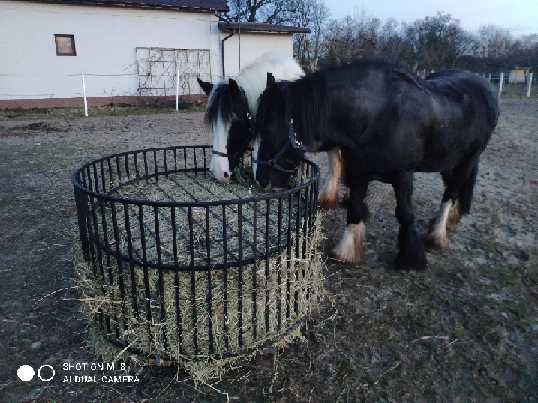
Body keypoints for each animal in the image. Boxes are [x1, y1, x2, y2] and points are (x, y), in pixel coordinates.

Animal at [253, 60, 496, 272]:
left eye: (269, 130)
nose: (261, 181)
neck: (378, 116)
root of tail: (484, 86)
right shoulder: (358, 172)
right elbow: (354, 208)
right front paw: (346, 251)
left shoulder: (403, 176)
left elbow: (405, 213)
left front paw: (411, 259)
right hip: (448, 160)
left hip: (467, 160)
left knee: (451, 192)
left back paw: (437, 234)